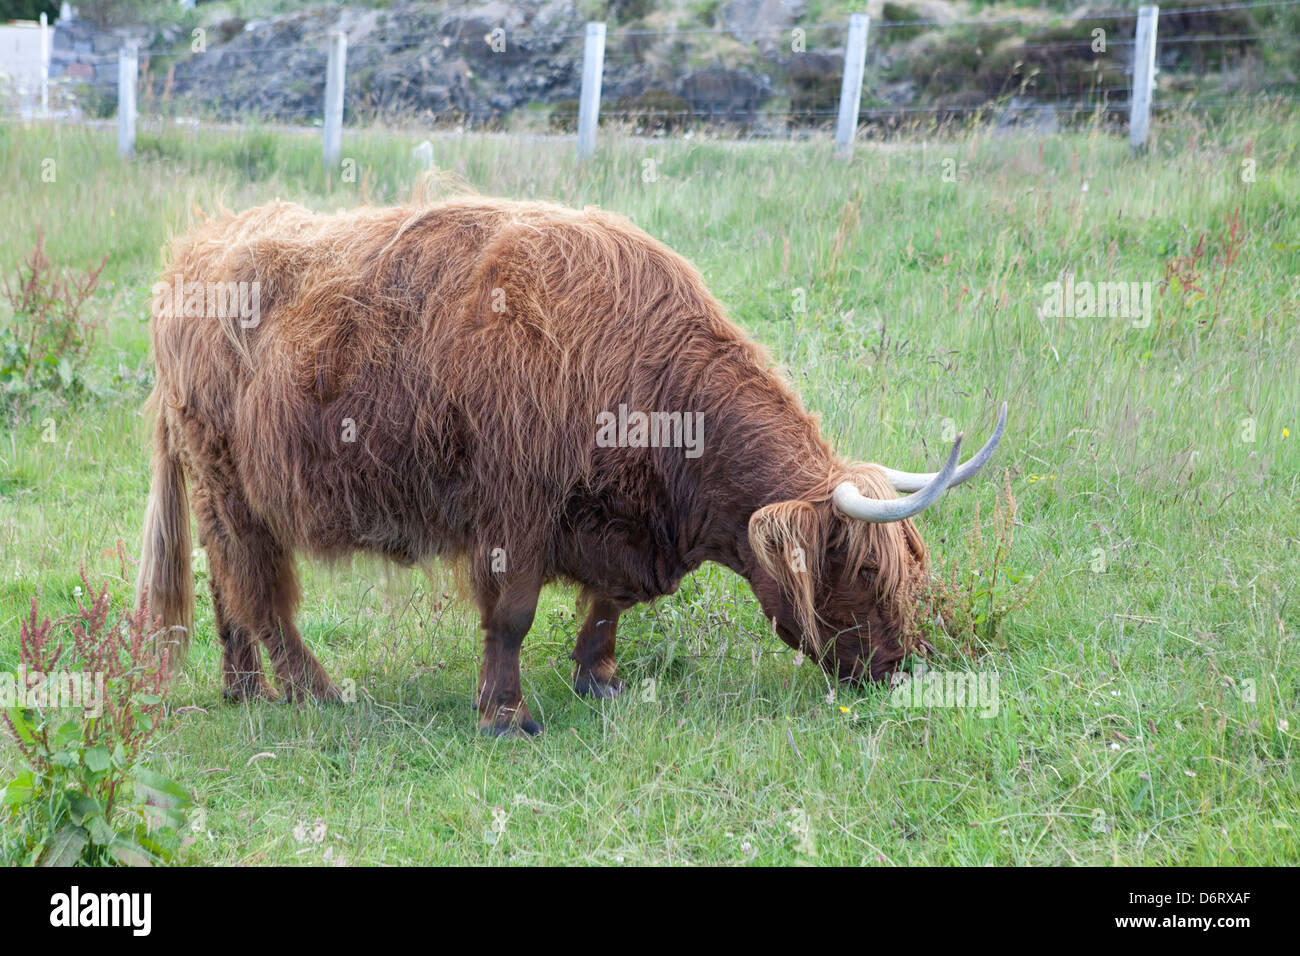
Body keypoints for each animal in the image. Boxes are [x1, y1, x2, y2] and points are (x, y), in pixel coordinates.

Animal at [137, 197, 1006, 735]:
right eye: (865, 572)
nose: (898, 666)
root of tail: (191, 253)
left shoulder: (612, 519)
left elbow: (609, 605)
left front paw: (601, 678)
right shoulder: (514, 507)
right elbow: (513, 615)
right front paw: (505, 716)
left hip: (220, 493)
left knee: (226, 586)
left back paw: (243, 689)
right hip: (231, 482)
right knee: (258, 589)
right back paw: (312, 691)